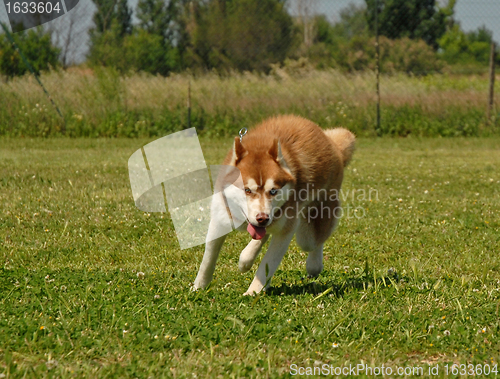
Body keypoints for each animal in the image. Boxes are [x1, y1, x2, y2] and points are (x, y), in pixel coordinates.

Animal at [192, 116, 356, 296]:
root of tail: (333, 144)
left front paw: (253, 292)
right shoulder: (221, 216)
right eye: (247, 190)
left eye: (273, 191)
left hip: (308, 230)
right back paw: (246, 258)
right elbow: (209, 257)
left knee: (314, 241)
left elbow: (268, 263)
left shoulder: (286, 229)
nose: (262, 218)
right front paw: (198, 287)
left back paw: (314, 264)